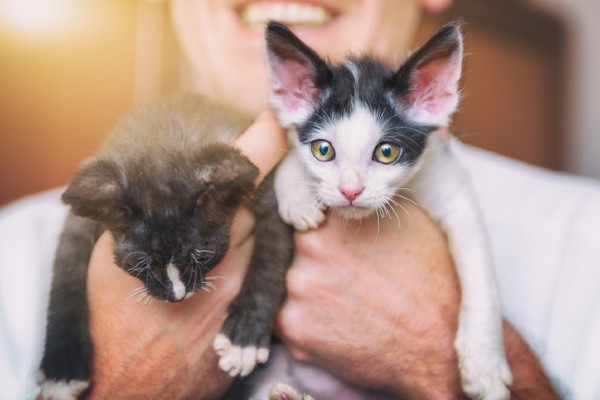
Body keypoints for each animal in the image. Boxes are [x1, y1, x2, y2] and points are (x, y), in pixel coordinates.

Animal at [37, 94, 292, 400]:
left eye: (202, 256)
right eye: (139, 263)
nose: (177, 295)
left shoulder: (266, 196)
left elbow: (270, 261)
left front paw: (244, 339)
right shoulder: (79, 224)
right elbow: (65, 280)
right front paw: (62, 368)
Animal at [252, 23, 510, 400]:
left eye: (386, 152)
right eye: (323, 150)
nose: (350, 190)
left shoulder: (449, 184)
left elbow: (480, 272)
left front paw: (484, 366)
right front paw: (297, 196)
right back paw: (289, 395)